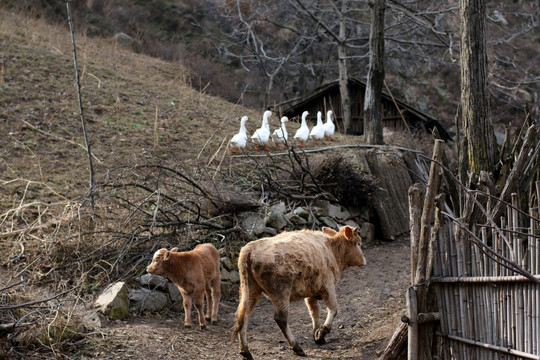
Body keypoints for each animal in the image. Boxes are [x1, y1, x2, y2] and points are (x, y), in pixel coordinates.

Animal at [232, 226, 368, 358]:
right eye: (358, 243)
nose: (364, 260)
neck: (331, 249)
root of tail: (250, 248)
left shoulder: (311, 292)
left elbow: (314, 312)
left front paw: (317, 334)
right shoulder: (328, 287)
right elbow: (333, 309)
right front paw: (322, 332)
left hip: (251, 290)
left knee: (243, 317)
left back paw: (245, 351)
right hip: (281, 293)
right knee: (280, 318)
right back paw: (296, 347)